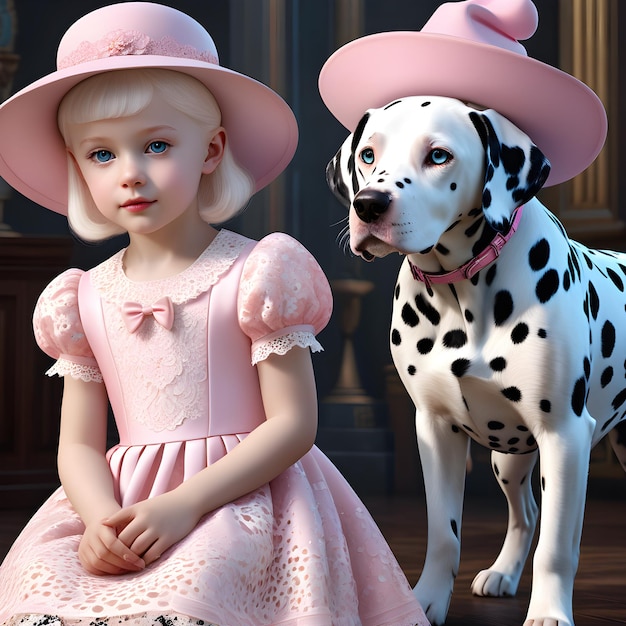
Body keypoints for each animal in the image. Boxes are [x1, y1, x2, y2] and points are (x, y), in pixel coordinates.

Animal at [324, 94, 624, 624]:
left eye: (438, 156)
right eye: (367, 155)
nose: (368, 205)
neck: (462, 290)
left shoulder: (565, 436)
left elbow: (557, 546)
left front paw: (549, 612)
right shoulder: (435, 429)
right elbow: (444, 532)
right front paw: (424, 601)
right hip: (508, 459)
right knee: (525, 513)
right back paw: (503, 573)